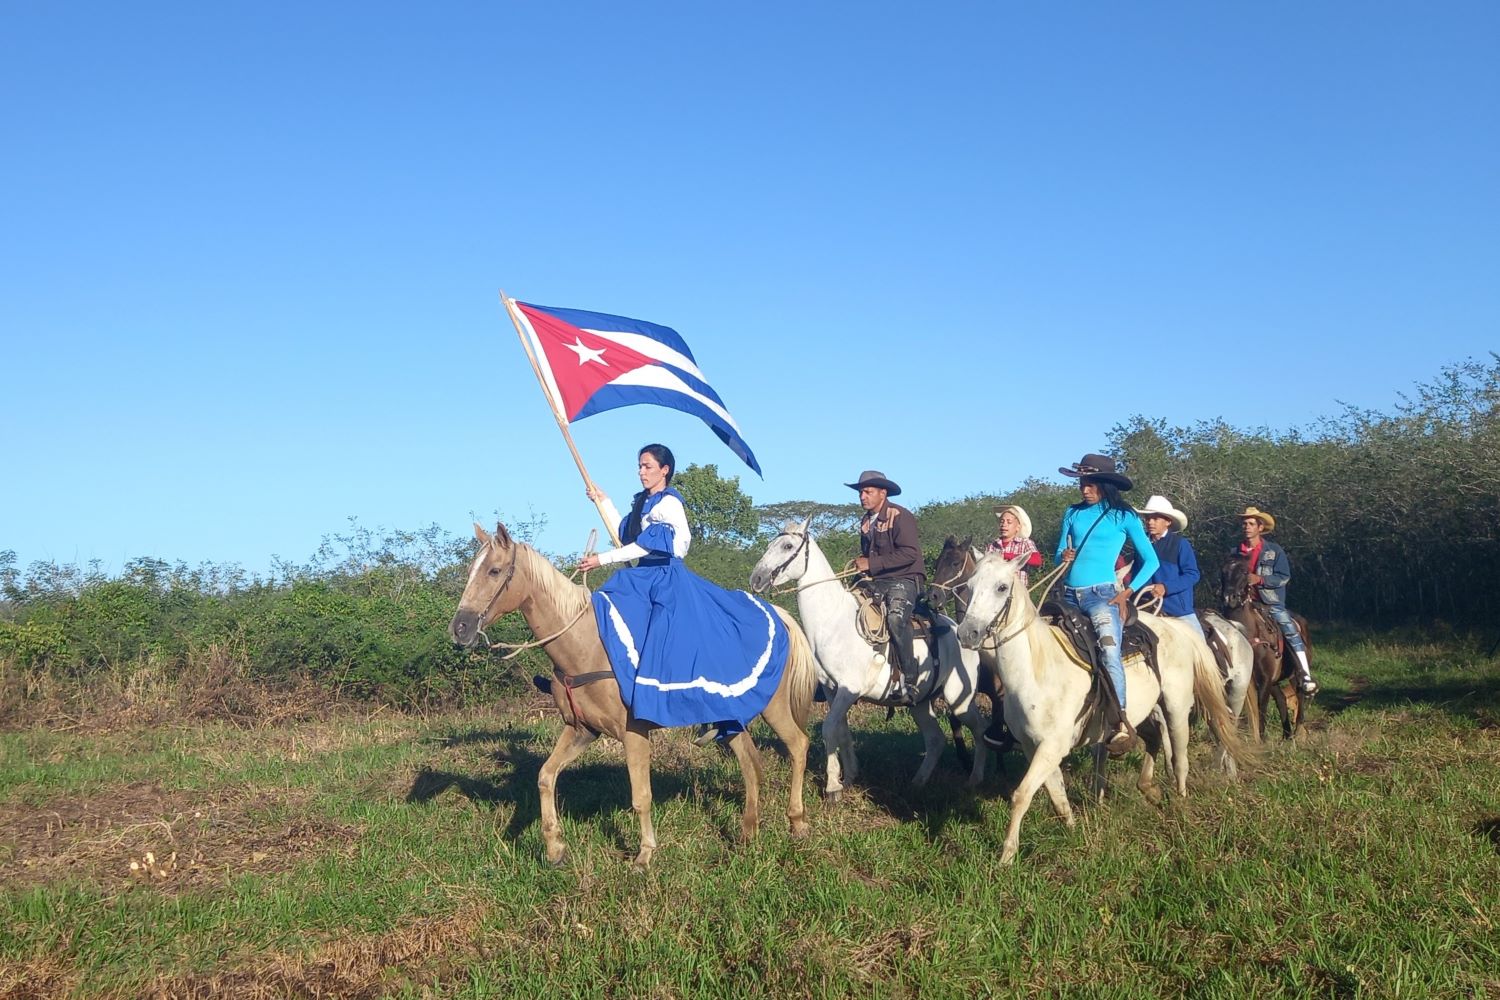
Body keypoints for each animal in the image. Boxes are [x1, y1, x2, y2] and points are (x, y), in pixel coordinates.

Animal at [450, 524, 816, 869]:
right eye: (469, 570)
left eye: (494, 570)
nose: (460, 628)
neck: (587, 645)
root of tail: (778, 615)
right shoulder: (581, 730)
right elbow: (545, 777)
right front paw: (555, 848)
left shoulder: (633, 733)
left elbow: (641, 796)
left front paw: (645, 855)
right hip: (730, 717)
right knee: (751, 763)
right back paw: (747, 833)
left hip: (774, 706)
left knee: (798, 745)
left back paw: (797, 823)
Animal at [747, 521, 984, 803]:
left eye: (787, 546)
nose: (757, 579)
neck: (833, 622)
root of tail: (958, 630)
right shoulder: (832, 690)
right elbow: (842, 731)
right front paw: (849, 775)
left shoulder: (849, 689)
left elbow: (829, 729)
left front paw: (833, 787)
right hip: (920, 703)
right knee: (935, 739)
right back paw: (917, 783)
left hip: (959, 700)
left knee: (980, 729)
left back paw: (975, 779)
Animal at [954, 551, 1248, 863]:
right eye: (969, 586)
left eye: (1001, 587)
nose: (968, 633)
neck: (1037, 669)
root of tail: (1175, 627)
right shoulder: (1034, 746)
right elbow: (1057, 793)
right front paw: (1071, 828)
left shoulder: (1052, 747)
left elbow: (1021, 794)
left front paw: (1007, 856)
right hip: (1142, 713)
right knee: (1154, 740)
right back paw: (1149, 789)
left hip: (1176, 707)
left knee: (1179, 757)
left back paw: (1179, 802)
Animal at [1218, 560, 1314, 740]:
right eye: (1223, 571)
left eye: (1244, 571)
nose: (1229, 598)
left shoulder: (1264, 680)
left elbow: (1261, 709)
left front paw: (1261, 739)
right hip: (1275, 680)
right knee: (1282, 699)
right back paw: (1286, 735)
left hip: (1292, 676)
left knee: (1299, 695)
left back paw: (1298, 731)